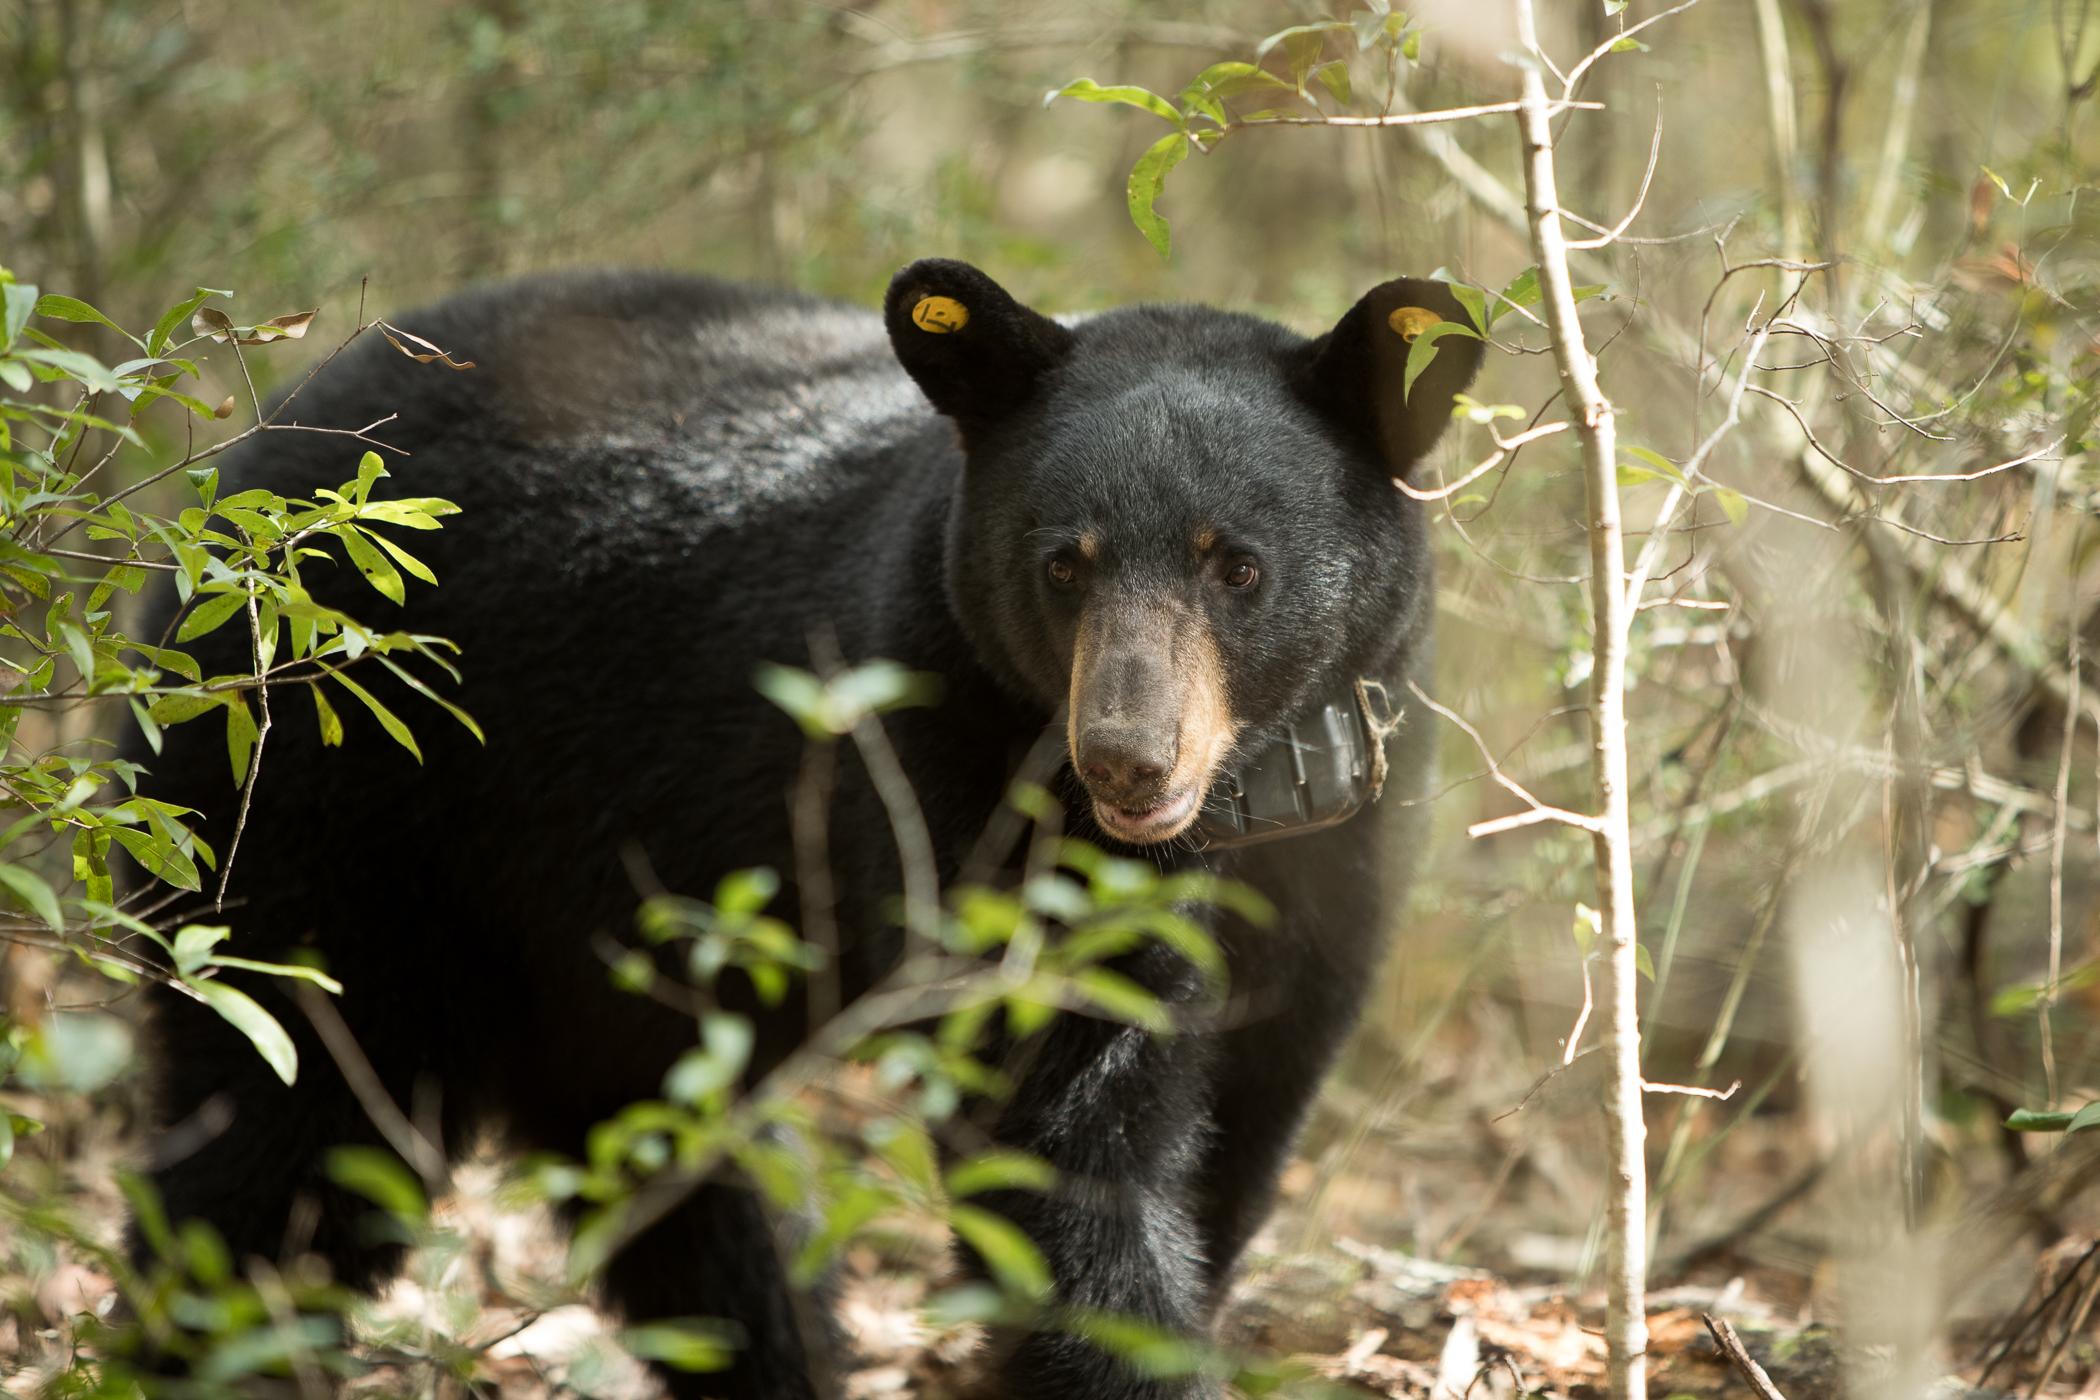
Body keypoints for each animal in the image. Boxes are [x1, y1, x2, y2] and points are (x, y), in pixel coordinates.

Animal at [128, 259, 1482, 1399]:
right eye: (1065, 563)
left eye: (1236, 566)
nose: (1125, 758)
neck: (1239, 805)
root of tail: (245, 462)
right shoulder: (957, 779)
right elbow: (1068, 1124)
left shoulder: (1344, 851)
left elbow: (1239, 1129)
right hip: (331, 801)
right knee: (285, 1124)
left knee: (693, 1191)